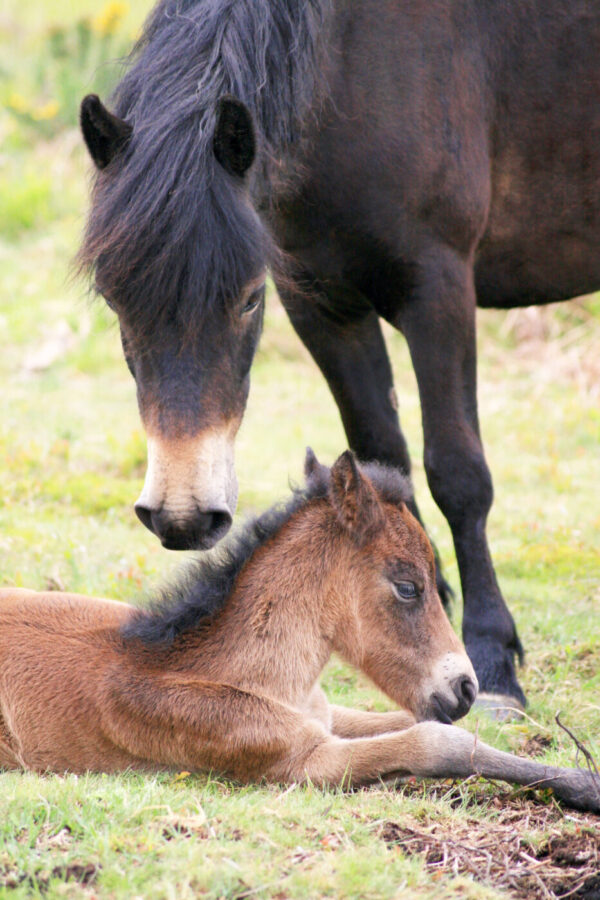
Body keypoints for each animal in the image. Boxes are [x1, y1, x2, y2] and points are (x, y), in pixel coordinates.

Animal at [1, 450, 598, 813]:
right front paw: (584, 784)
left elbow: (418, 721)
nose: (467, 688)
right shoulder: (301, 761)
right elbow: (437, 741)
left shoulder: (325, 715)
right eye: (408, 587)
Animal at [77, 0, 600, 710]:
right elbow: (382, 453)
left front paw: (493, 659)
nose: (182, 518)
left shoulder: (437, 287)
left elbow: (458, 474)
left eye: (248, 299)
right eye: (113, 299)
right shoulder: (323, 303)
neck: (351, 61)